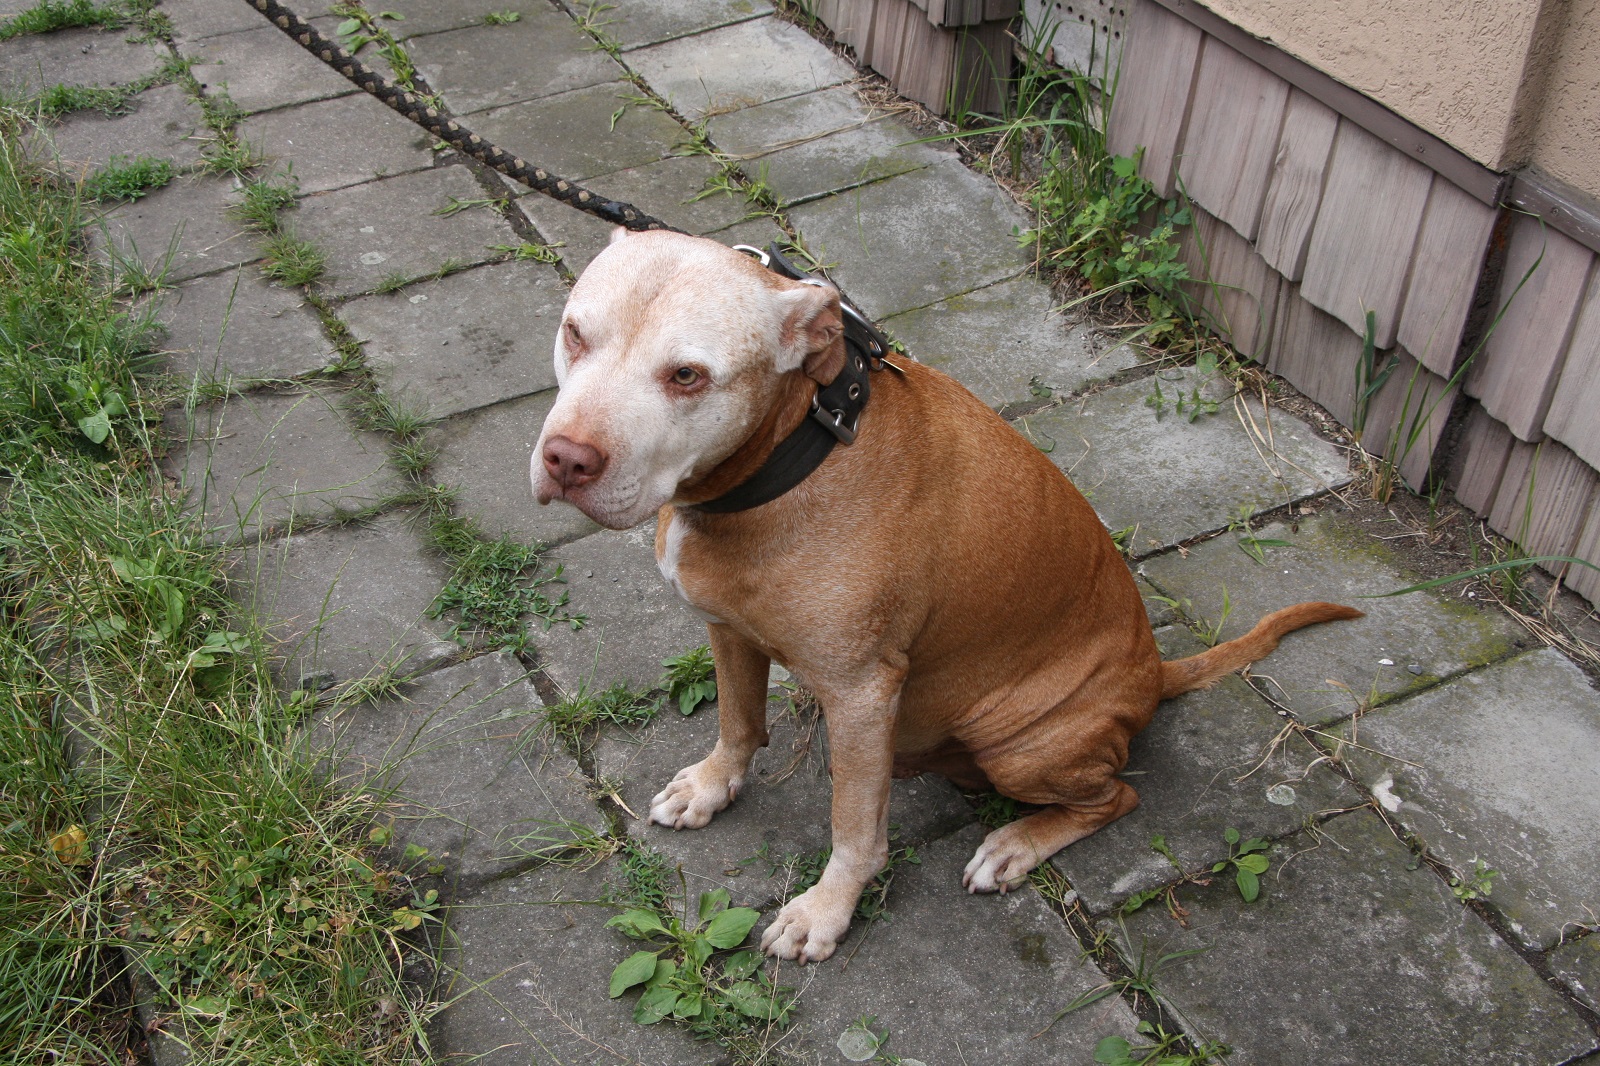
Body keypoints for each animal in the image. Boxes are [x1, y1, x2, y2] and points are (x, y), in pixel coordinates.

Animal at [532, 228, 1360, 963]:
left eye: (687, 376)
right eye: (574, 332)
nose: (566, 460)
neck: (792, 454)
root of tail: (1154, 674)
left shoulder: (861, 694)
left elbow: (854, 829)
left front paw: (825, 912)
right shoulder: (728, 631)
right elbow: (739, 723)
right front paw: (710, 788)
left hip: (1020, 741)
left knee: (1114, 798)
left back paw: (1015, 846)